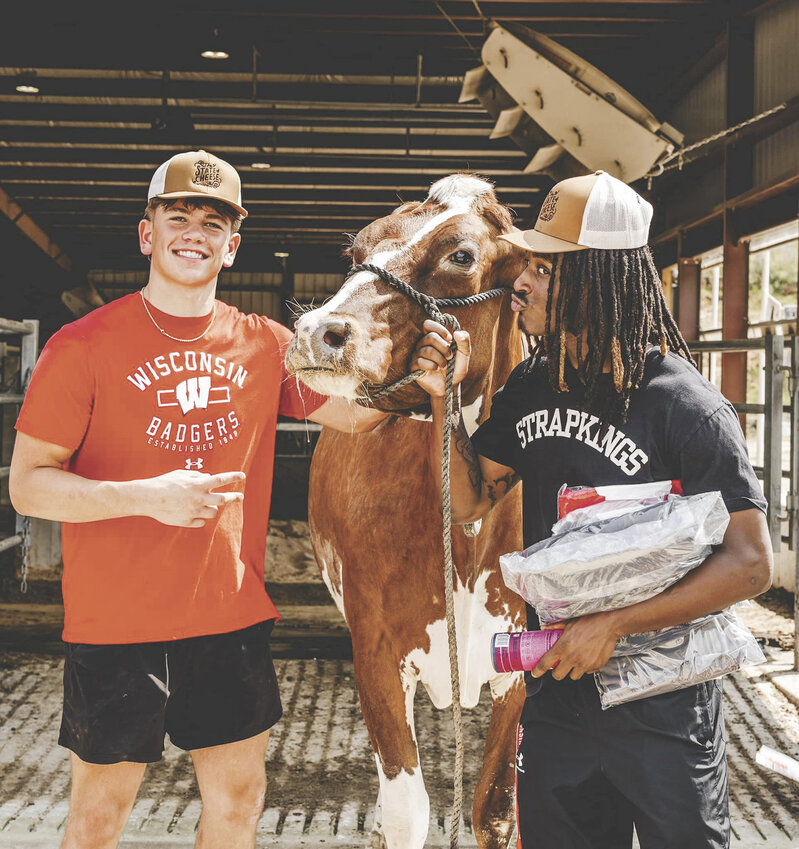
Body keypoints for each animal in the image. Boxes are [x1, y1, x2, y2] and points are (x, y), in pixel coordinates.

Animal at [290, 176, 532, 848]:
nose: (318, 330)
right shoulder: (374, 650)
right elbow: (407, 810)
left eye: (462, 256)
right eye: (356, 251)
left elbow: (495, 808)